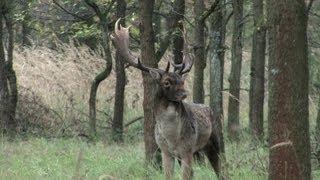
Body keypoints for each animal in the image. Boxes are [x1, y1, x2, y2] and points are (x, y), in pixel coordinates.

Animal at [111, 19, 224, 179]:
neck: (172, 138)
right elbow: (169, 175)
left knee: (221, 169)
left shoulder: (187, 149)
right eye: (166, 82)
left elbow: (185, 176)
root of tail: (208, 107)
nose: (184, 94)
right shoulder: (165, 151)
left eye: (182, 81)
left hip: (214, 141)